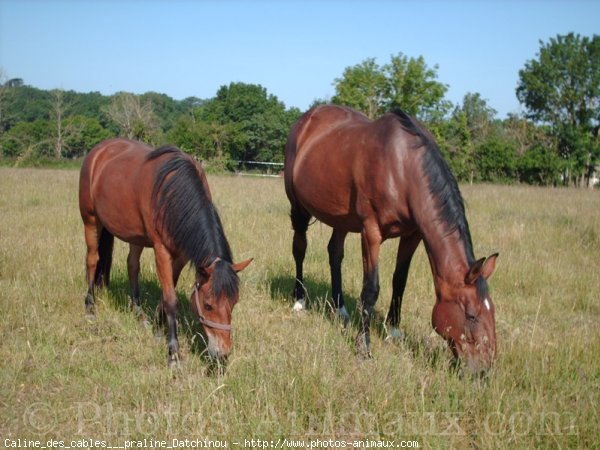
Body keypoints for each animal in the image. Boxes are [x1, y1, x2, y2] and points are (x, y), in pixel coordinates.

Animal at [78, 139, 251, 368]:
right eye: (208, 305)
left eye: (234, 302)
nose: (222, 352)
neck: (173, 192)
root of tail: (99, 150)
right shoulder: (161, 251)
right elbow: (171, 299)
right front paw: (173, 353)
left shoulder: (181, 255)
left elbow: (167, 291)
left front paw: (158, 329)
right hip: (90, 221)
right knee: (92, 260)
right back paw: (90, 309)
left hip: (135, 235)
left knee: (132, 266)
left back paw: (139, 314)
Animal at [284, 105, 500, 372]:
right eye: (471, 314)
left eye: (492, 311)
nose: (483, 370)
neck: (401, 167)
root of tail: (306, 119)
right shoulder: (371, 232)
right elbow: (371, 289)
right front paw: (364, 347)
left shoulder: (412, 235)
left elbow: (400, 280)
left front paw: (393, 331)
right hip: (298, 207)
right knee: (299, 249)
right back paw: (299, 301)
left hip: (340, 218)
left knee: (334, 253)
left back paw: (340, 308)